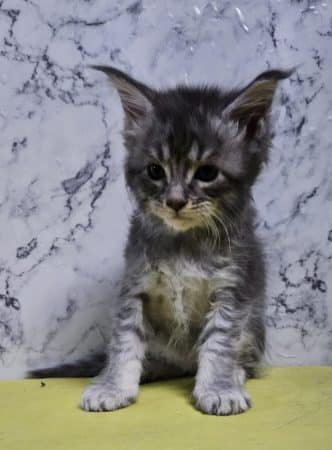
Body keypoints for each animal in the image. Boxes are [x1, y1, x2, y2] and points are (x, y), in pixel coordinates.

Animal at [30, 66, 290, 414]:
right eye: (155, 171)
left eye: (207, 173)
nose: (175, 201)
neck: (184, 244)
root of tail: (184, 364)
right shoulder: (134, 285)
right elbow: (124, 342)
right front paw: (113, 386)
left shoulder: (232, 289)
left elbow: (220, 343)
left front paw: (218, 388)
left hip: (254, 325)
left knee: (242, 357)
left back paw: (233, 374)